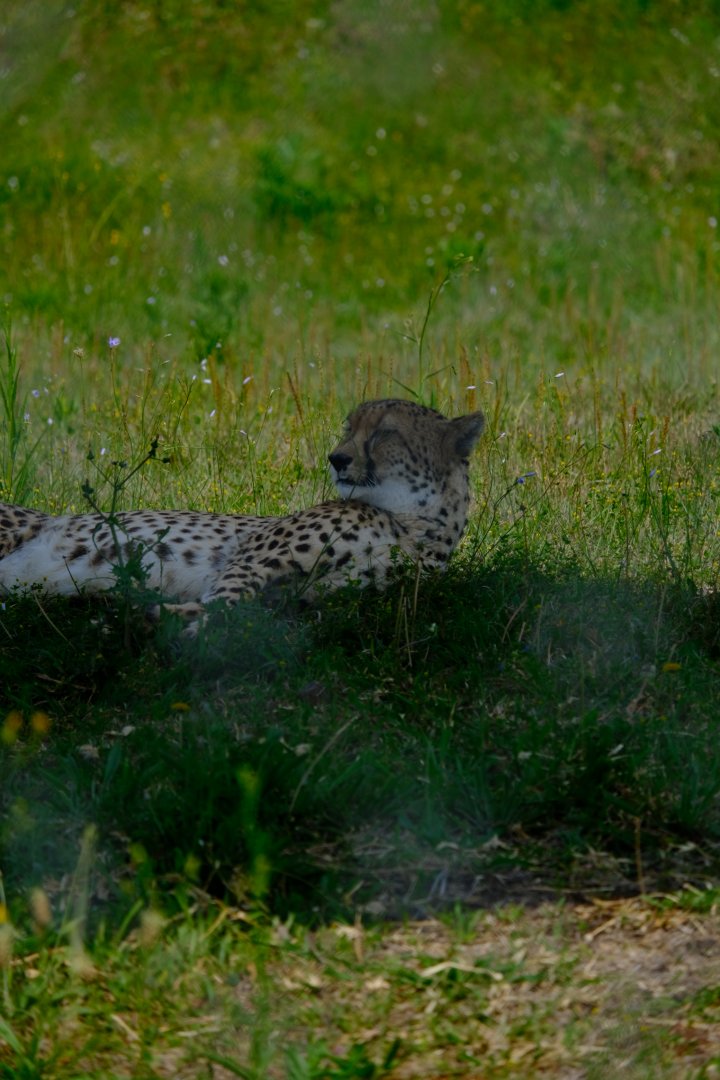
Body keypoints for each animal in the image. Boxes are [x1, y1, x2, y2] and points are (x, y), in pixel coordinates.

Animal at [0, 398, 485, 628]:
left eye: (385, 432)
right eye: (349, 428)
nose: (337, 458)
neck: (415, 525)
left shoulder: (309, 596)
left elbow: (249, 609)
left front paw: (165, 615)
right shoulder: (250, 558)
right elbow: (228, 599)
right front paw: (185, 626)